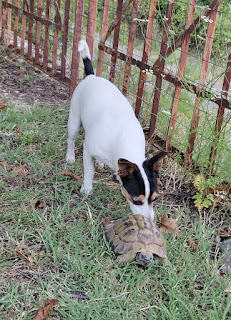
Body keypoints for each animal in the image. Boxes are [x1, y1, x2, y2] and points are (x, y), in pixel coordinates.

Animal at [66, 40, 165, 220]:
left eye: (155, 199)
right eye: (136, 201)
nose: (149, 221)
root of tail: (91, 76)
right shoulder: (88, 150)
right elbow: (89, 171)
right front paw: (86, 188)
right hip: (74, 120)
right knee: (71, 139)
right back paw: (69, 157)